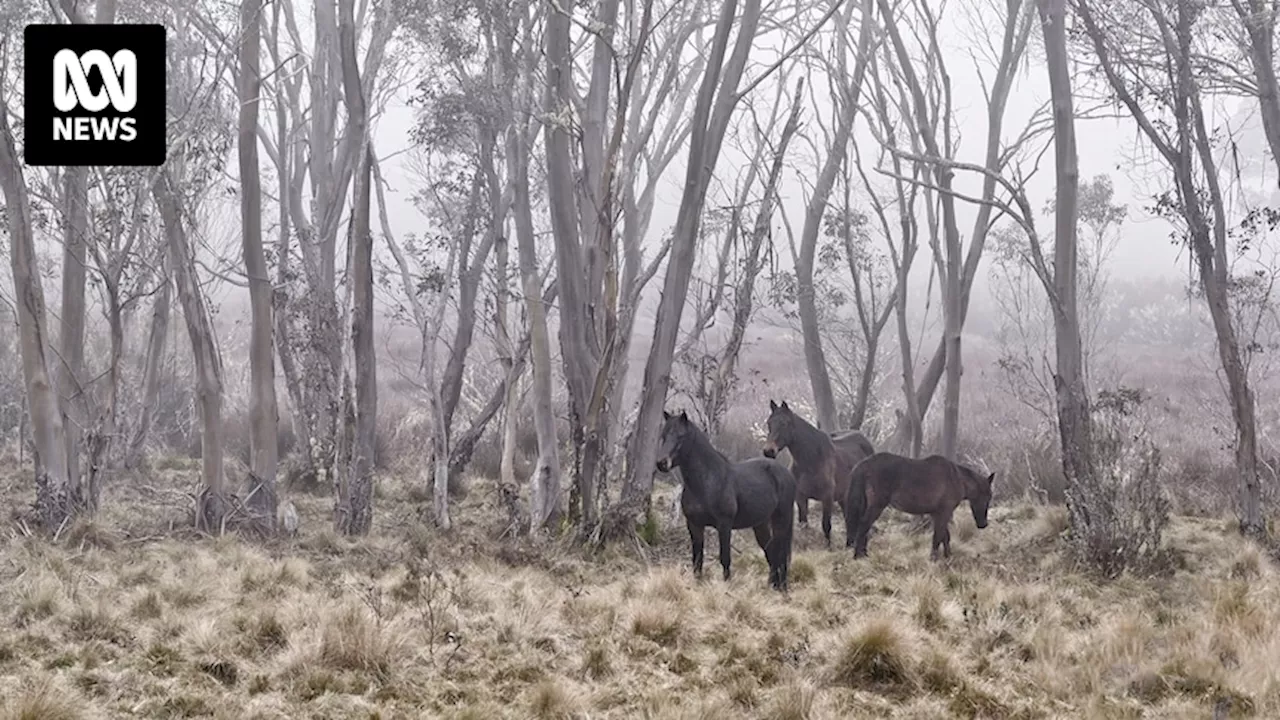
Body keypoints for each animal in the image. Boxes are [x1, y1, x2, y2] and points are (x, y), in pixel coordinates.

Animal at [655, 409, 793, 589]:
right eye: (663, 435)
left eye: (681, 436)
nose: (662, 463)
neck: (707, 481)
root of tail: (786, 473)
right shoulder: (694, 525)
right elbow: (697, 559)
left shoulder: (724, 525)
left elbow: (725, 558)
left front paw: (727, 587)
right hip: (760, 524)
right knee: (772, 553)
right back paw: (772, 586)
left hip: (781, 520)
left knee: (781, 553)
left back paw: (782, 588)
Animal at [757, 399, 880, 545]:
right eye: (769, 423)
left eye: (784, 423)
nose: (768, 451)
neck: (812, 460)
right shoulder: (800, 497)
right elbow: (804, 523)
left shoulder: (827, 497)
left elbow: (826, 525)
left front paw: (828, 547)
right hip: (844, 496)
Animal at [844, 450, 993, 558]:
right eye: (988, 496)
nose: (983, 524)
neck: (957, 478)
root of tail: (864, 464)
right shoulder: (944, 512)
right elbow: (938, 536)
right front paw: (934, 559)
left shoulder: (936, 514)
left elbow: (945, 536)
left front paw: (948, 557)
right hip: (877, 506)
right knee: (863, 524)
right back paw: (858, 556)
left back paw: (863, 554)